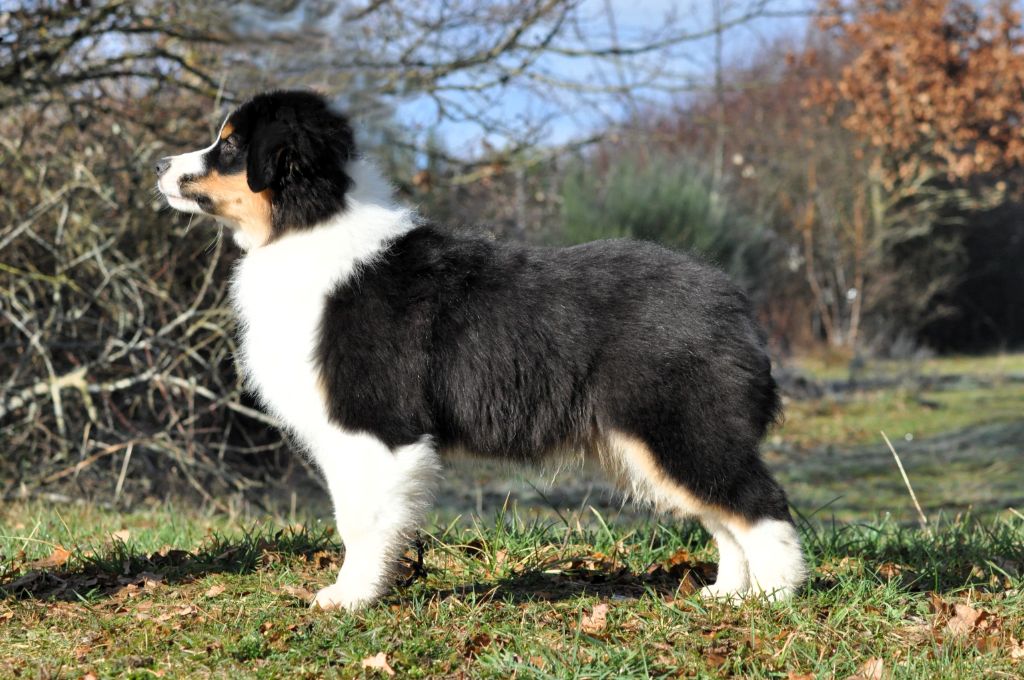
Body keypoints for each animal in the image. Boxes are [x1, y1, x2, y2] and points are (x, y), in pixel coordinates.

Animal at [155, 90, 806, 610]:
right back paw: (728, 592)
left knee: (758, 502)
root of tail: (735, 304)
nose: (159, 164)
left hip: (679, 422)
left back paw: (774, 594)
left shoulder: (374, 424)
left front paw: (349, 598)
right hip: (662, 438)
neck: (310, 226)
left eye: (229, 147)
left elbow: (360, 520)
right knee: (723, 514)